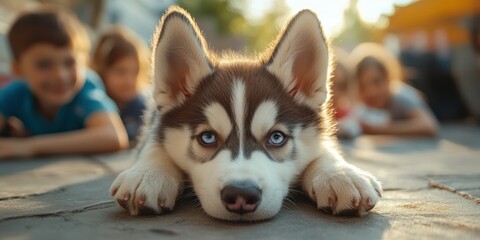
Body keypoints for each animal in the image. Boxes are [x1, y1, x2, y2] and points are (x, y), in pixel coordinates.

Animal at [109, 6, 382, 221]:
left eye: (276, 137)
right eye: (207, 137)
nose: (241, 195)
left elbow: (324, 150)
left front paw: (341, 175)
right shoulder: (156, 123)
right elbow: (154, 145)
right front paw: (148, 173)